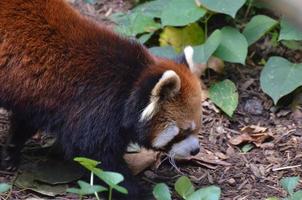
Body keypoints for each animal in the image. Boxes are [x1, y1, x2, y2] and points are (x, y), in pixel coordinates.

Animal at [0, 0, 204, 198]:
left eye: (197, 128)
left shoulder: (37, 100)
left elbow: (24, 122)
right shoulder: (95, 109)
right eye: (184, 131)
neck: (131, 84)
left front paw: (12, 150)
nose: (196, 150)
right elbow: (100, 161)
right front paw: (140, 193)